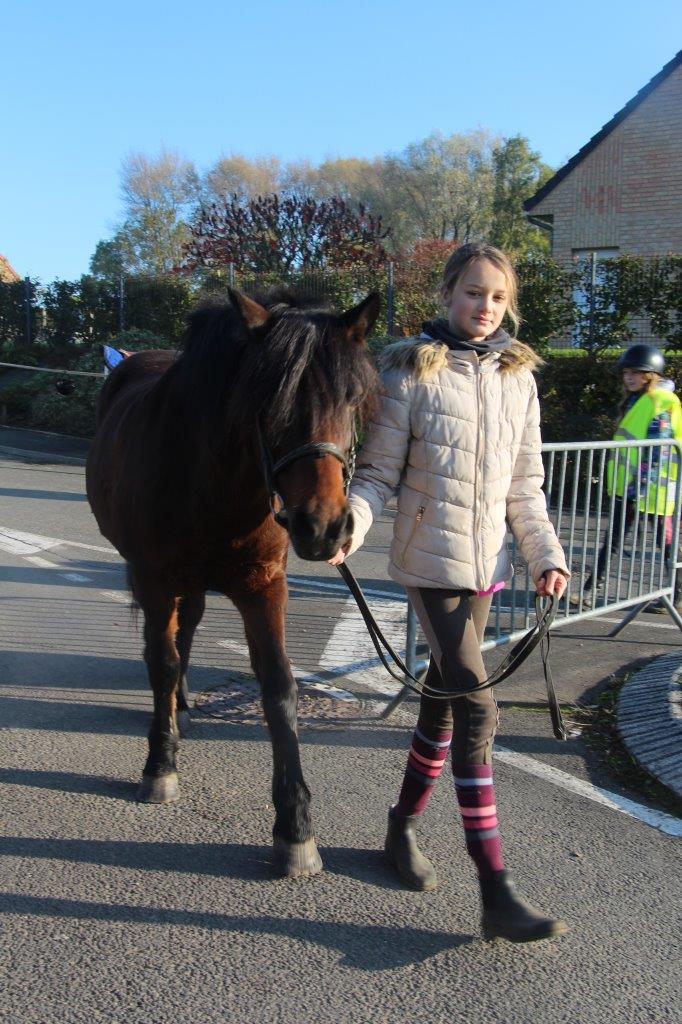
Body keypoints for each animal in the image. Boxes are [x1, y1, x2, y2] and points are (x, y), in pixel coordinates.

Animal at [84, 290, 376, 880]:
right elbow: (161, 661)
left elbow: (279, 689)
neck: (212, 482)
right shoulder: (153, 578)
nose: (324, 528)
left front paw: (295, 827)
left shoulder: (263, 586)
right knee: (167, 644)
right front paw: (160, 765)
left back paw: (184, 702)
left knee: (189, 626)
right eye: (269, 401)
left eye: (353, 399)